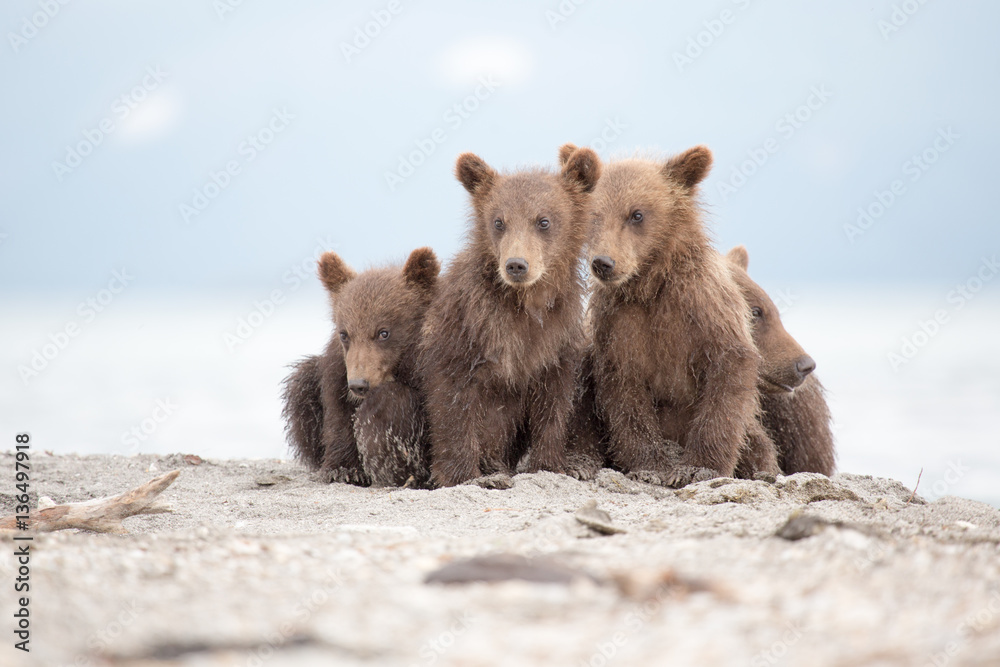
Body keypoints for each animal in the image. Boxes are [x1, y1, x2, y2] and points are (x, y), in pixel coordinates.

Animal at [281, 247, 440, 487]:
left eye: (384, 332)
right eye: (345, 334)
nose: (359, 384)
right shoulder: (339, 368)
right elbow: (337, 414)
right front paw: (343, 469)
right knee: (303, 384)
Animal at [417, 146, 601, 487]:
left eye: (543, 221)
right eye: (499, 221)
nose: (516, 264)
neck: (523, 304)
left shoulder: (554, 341)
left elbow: (553, 404)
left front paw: (549, 464)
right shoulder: (465, 329)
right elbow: (452, 403)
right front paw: (464, 474)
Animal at [578, 144, 763, 482]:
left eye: (637, 214)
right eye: (593, 215)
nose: (604, 263)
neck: (651, 286)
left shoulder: (703, 306)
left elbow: (729, 371)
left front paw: (699, 465)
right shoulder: (620, 324)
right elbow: (625, 392)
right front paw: (651, 466)